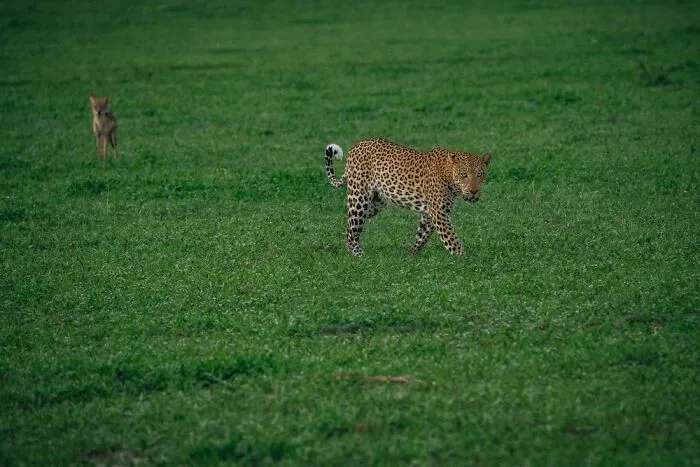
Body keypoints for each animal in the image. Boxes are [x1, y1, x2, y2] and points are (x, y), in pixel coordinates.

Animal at [325, 138, 491, 256]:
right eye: (464, 175)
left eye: (480, 174)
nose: (474, 191)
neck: (448, 174)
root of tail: (357, 146)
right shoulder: (439, 213)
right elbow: (451, 238)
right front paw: (464, 258)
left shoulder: (430, 214)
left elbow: (422, 236)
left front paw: (411, 256)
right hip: (360, 199)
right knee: (353, 226)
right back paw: (358, 255)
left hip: (374, 204)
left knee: (350, 226)